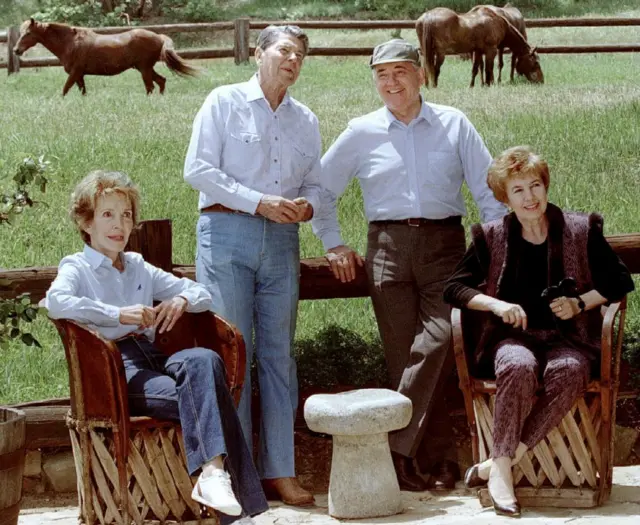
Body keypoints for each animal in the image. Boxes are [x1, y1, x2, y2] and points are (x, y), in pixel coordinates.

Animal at [14, 17, 198, 95]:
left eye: (28, 33)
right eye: (21, 32)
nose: (16, 50)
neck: (70, 42)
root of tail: (159, 36)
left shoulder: (74, 72)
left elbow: (64, 90)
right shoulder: (80, 75)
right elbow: (82, 92)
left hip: (144, 68)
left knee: (150, 87)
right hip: (144, 68)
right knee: (161, 82)